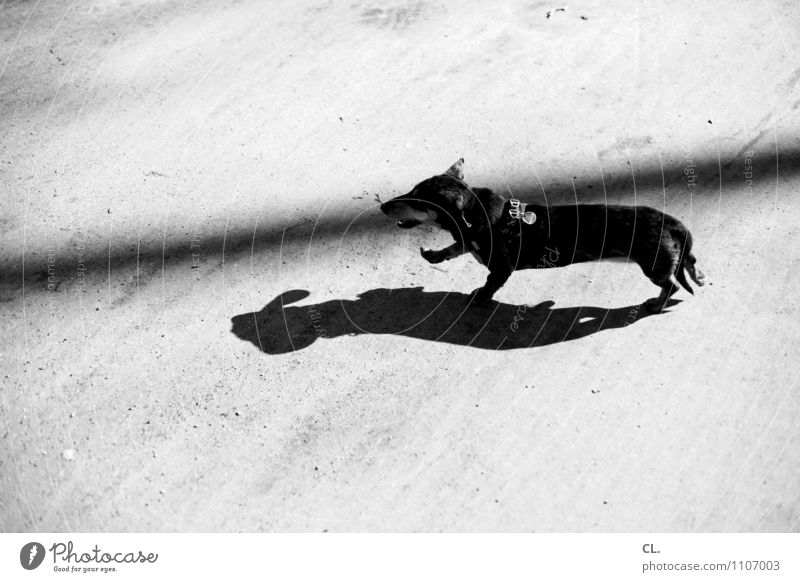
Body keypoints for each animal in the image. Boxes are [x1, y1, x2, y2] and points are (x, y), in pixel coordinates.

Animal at [382, 157, 708, 312]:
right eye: (412, 189)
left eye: (418, 200)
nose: (383, 206)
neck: (481, 215)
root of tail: (674, 224)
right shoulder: (470, 239)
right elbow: (457, 246)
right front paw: (436, 255)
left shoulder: (501, 267)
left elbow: (488, 285)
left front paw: (479, 298)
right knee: (689, 262)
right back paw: (699, 274)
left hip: (653, 266)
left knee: (671, 286)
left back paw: (656, 304)